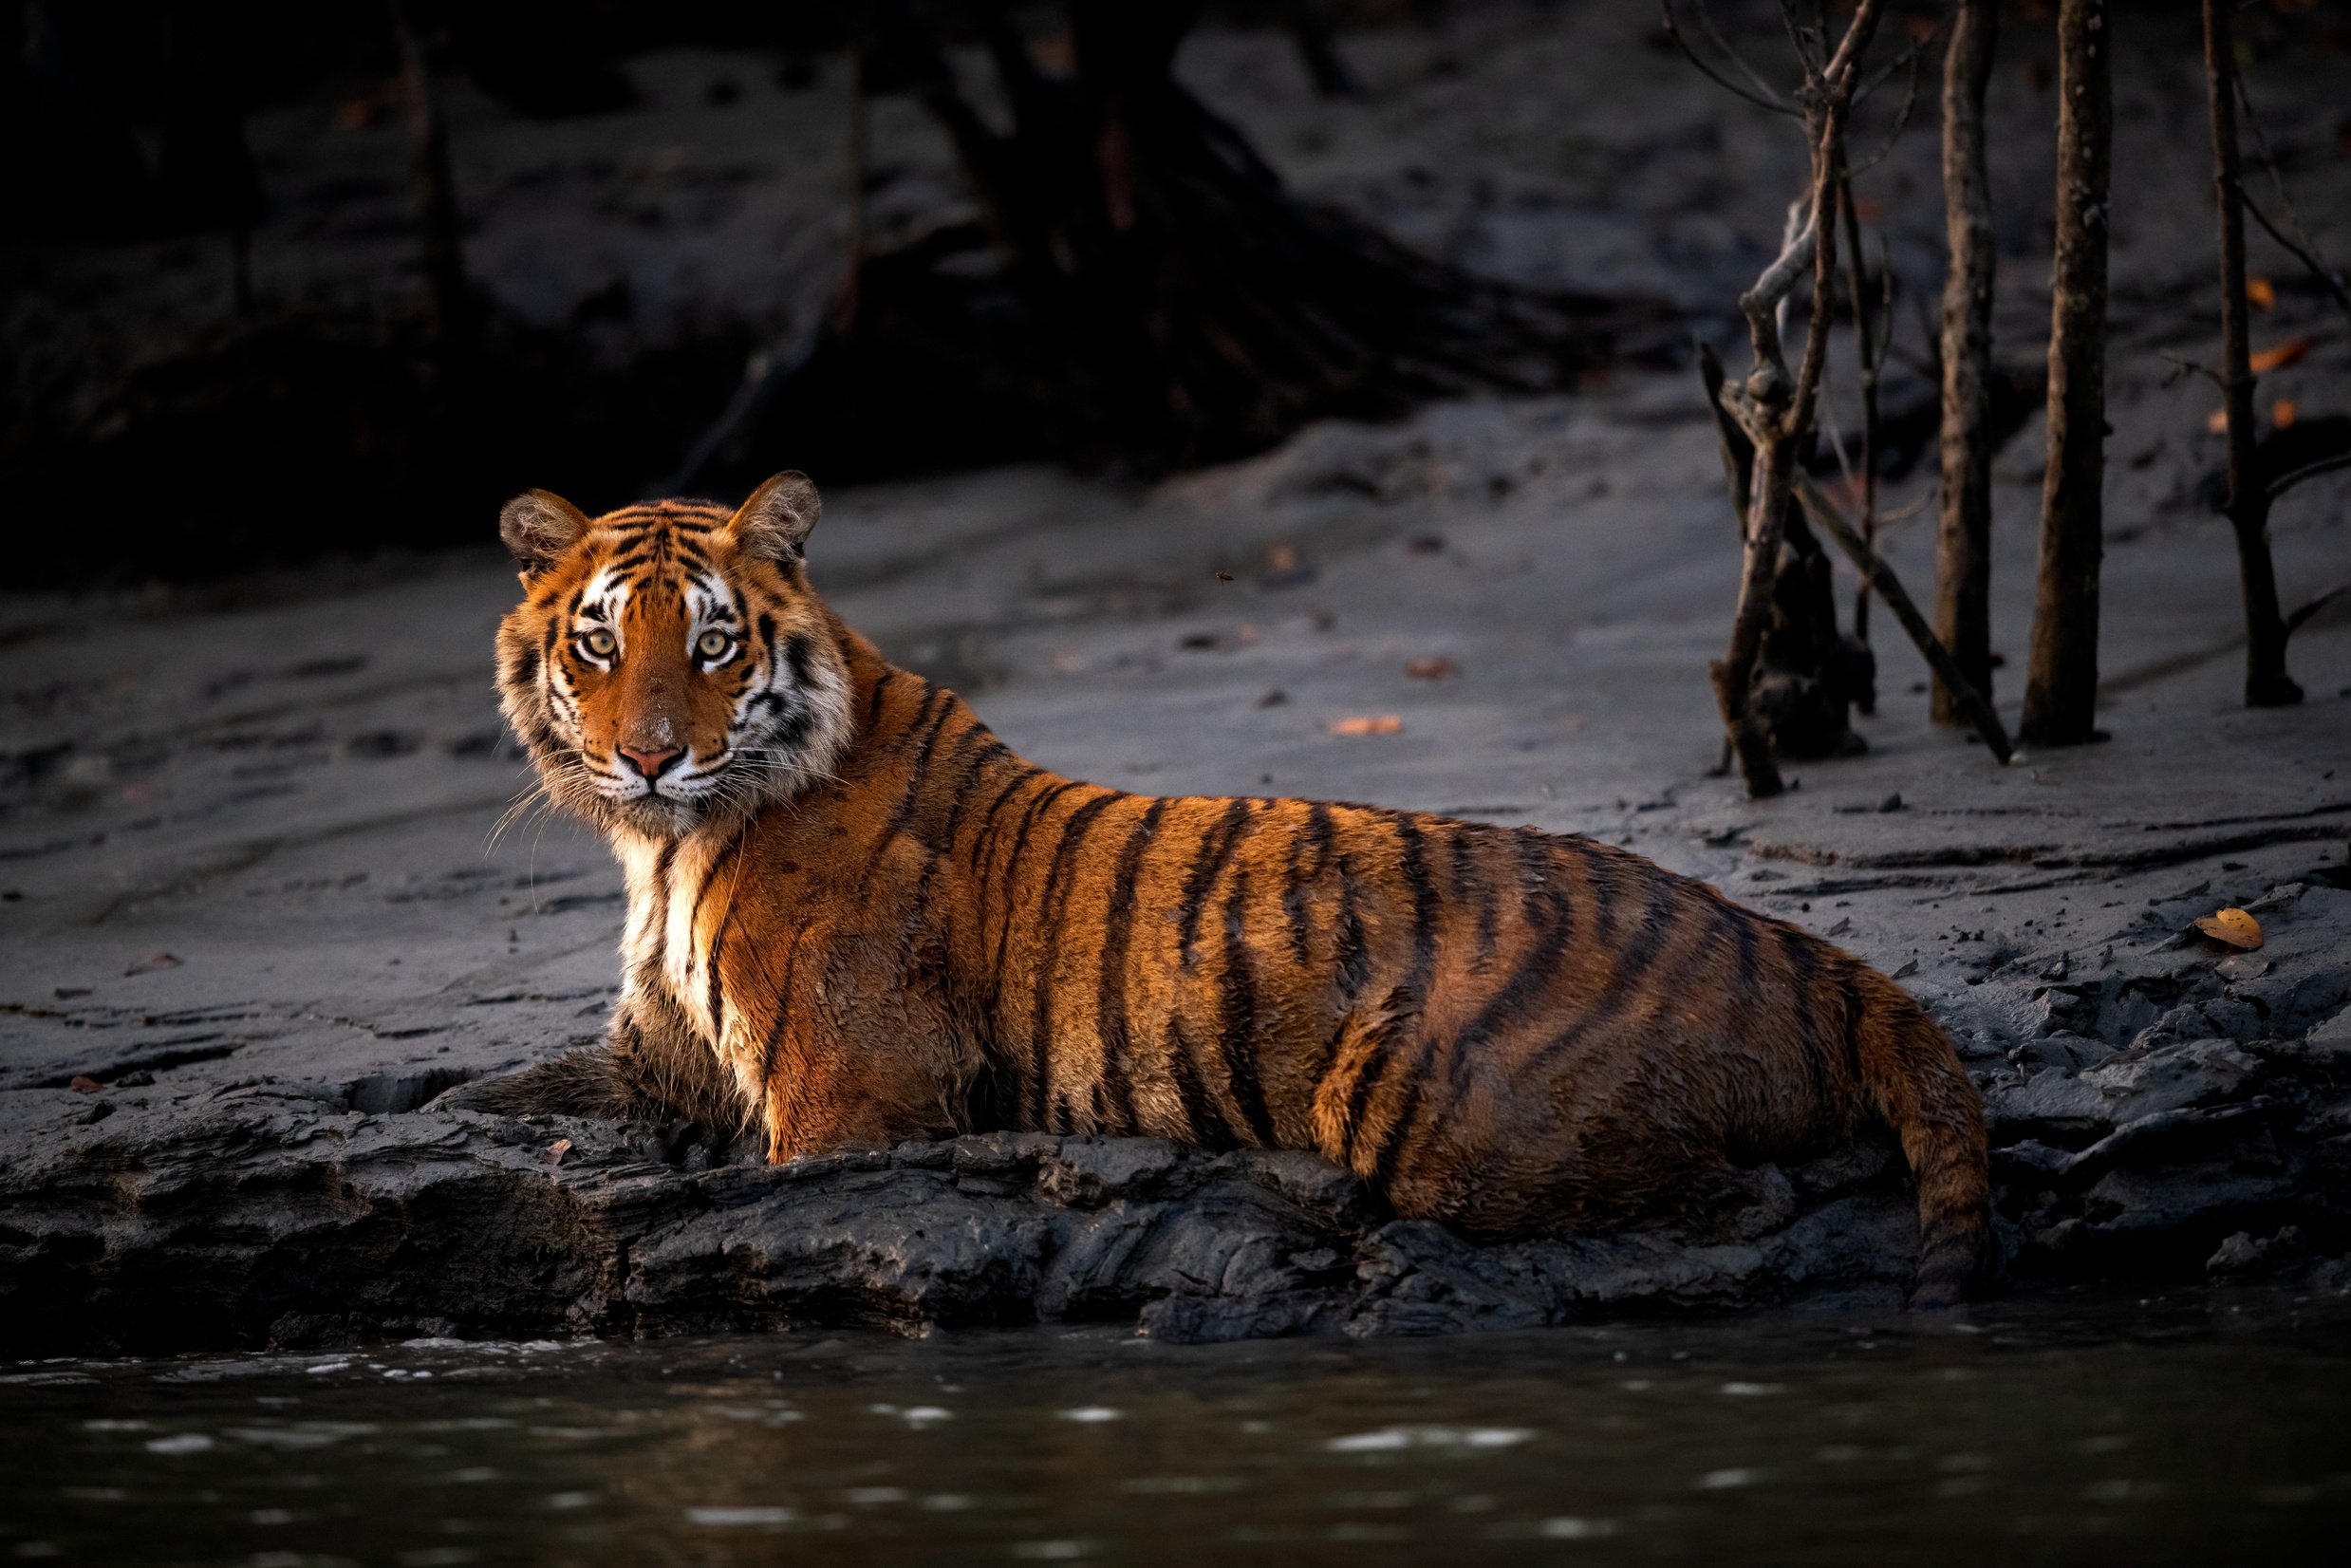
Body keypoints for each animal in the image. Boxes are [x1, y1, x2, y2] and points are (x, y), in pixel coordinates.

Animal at [476, 472, 1984, 1307]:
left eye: (712, 646)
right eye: (600, 642)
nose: (649, 756)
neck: (665, 848)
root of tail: (1799, 949)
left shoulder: (847, 1100)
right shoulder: (659, 1062)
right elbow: (498, 1091)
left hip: (1422, 1104)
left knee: (1744, 1194)